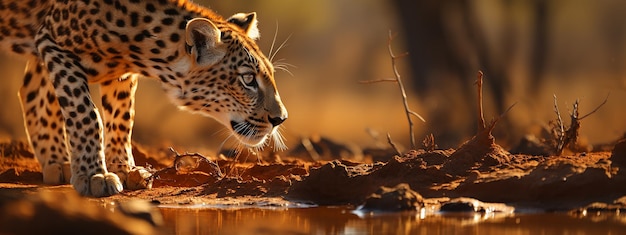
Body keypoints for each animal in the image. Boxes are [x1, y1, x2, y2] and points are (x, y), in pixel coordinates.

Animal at [0, 0, 288, 197]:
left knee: (31, 90)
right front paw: (95, 174)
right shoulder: (53, 41)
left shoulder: (119, 72)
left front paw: (124, 169)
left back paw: (57, 161)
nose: (281, 119)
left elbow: (121, 116)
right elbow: (86, 114)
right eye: (248, 79)